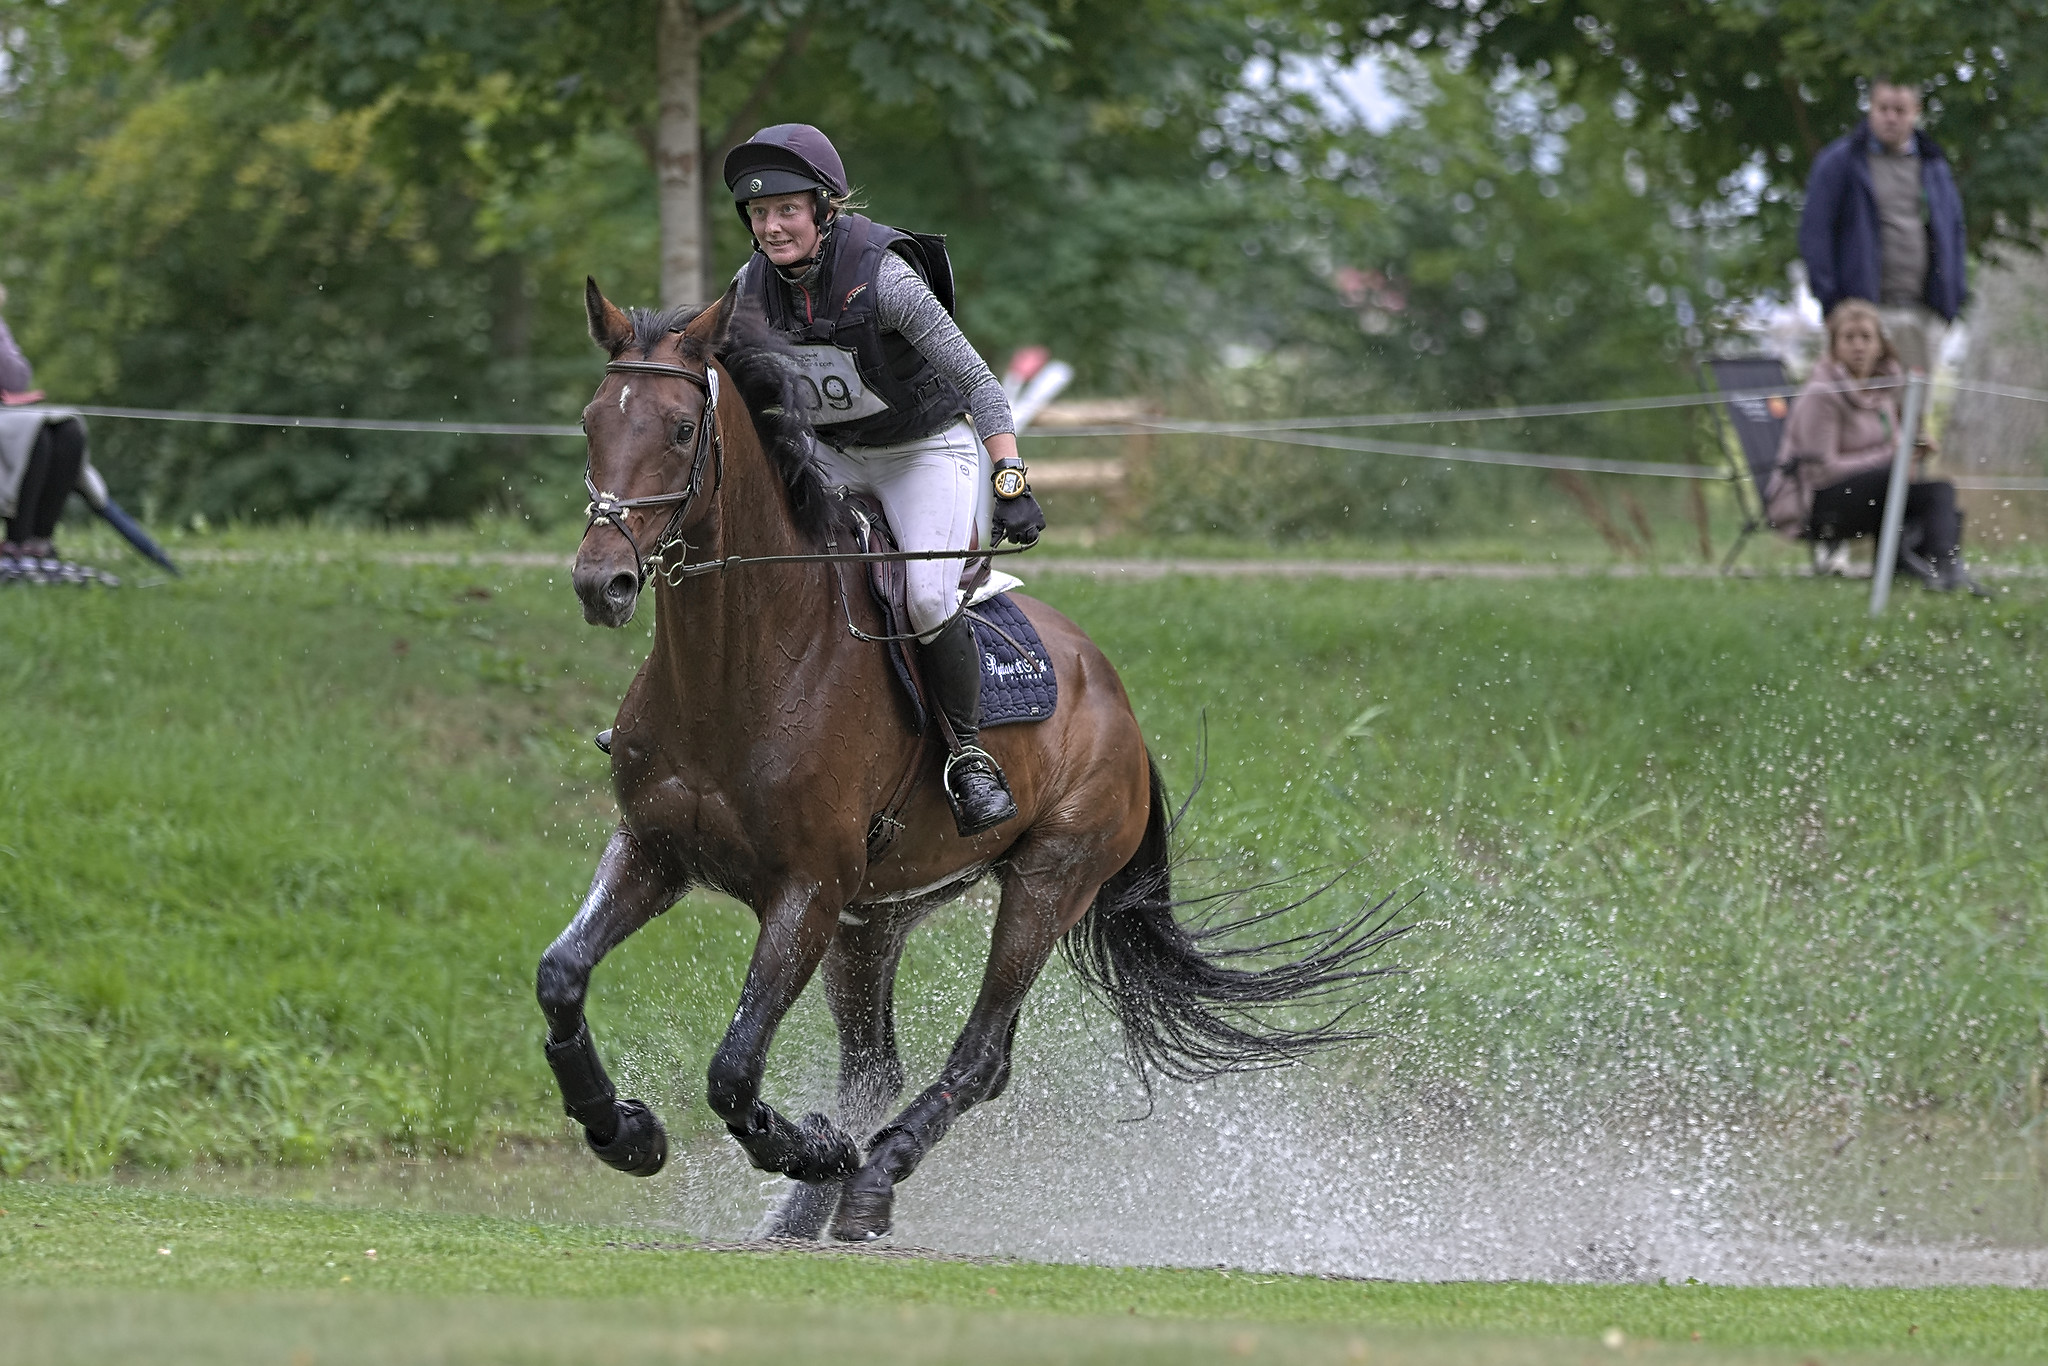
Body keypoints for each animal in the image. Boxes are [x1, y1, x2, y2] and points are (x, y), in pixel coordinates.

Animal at [536, 282, 1400, 1245]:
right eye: (591, 422)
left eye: (683, 429)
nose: (602, 582)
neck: (744, 661)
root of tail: (1118, 700)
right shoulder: (653, 852)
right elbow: (561, 976)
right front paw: (623, 1131)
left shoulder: (805, 891)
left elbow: (733, 1068)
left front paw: (815, 1149)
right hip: (874, 918)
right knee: (878, 1064)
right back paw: (809, 1207)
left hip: (1046, 881)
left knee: (981, 1055)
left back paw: (868, 1178)